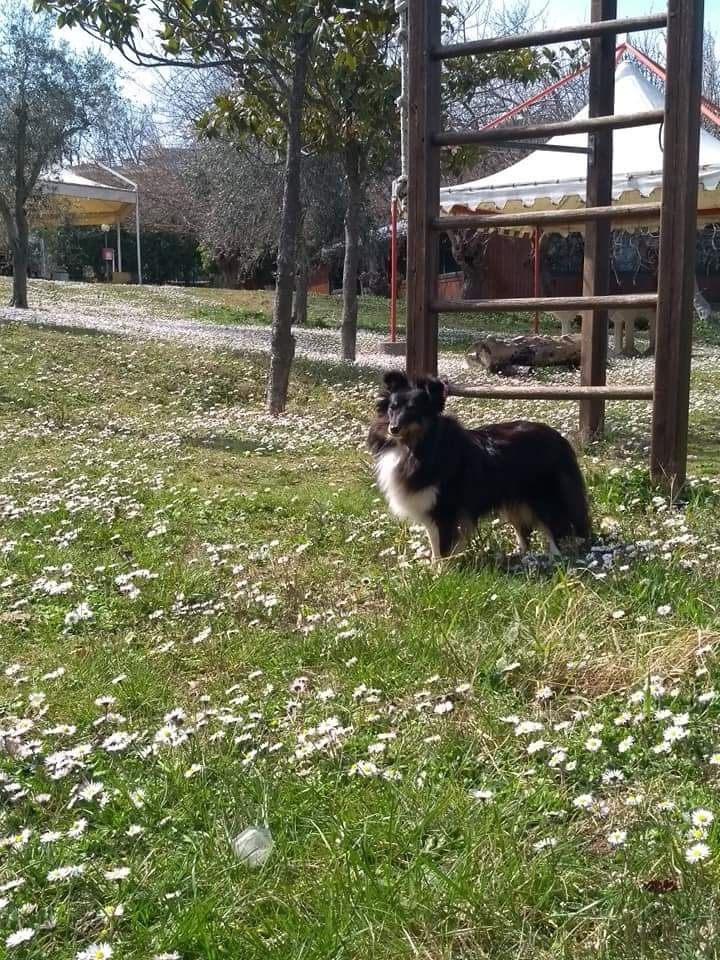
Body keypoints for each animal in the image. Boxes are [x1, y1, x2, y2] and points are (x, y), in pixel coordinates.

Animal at [366, 370, 592, 564]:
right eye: (392, 408)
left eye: (413, 409)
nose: (393, 428)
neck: (416, 446)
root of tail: (559, 438)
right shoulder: (431, 510)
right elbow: (434, 545)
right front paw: (433, 570)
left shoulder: (445, 509)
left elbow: (443, 548)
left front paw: (441, 576)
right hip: (516, 501)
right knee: (524, 531)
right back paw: (518, 556)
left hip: (543, 496)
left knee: (556, 527)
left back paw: (555, 558)